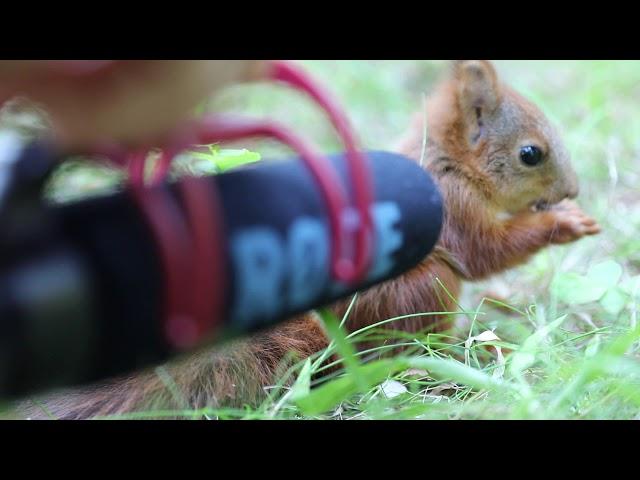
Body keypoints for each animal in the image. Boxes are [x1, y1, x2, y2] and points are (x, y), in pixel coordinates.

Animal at [18, 61, 600, 420]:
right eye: (531, 153)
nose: (573, 190)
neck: (448, 164)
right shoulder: (451, 210)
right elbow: (485, 253)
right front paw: (566, 224)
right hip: (426, 286)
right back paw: (456, 352)